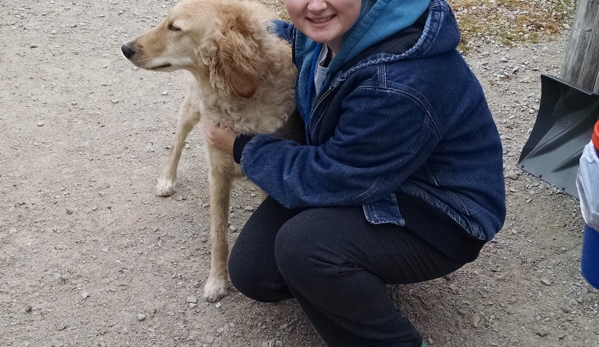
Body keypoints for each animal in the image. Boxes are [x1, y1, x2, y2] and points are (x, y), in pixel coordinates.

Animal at [120, 0, 298, 302]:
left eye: (174, 27)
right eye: (166, 20)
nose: (125, 48)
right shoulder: (217, 174)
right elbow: (218, 236)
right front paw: (216, 281)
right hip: (191, 110)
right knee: (177, 142)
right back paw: (167, 179)